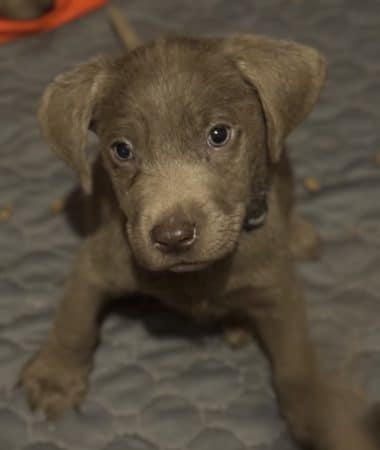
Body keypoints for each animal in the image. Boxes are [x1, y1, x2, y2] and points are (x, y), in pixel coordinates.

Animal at [20, 10, 378, 450]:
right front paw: (56, 376)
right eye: (122, 149)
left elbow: (296, 362)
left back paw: (297, 239)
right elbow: (75, 320)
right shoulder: (98, 261)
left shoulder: (278, 288)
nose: (173, 237)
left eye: (218, 134)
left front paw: (321, 414)